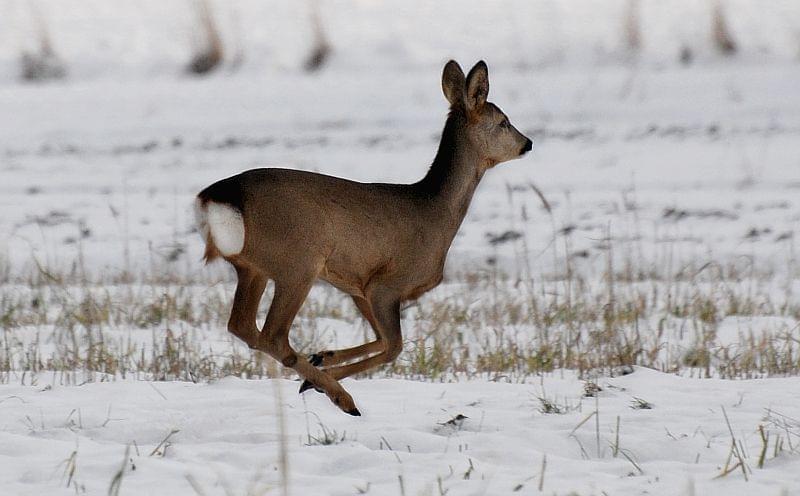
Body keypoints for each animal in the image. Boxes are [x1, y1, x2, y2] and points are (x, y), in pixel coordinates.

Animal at [194, 59, 532, 414]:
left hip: (253, 267)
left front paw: (323, 357)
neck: (435, 212)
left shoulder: (359, 285)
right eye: (504, 122)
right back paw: (341, 397)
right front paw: (317, 380)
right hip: (298, 262)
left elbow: (382, 340)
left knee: (242, 326)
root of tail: (219, 195)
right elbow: (394, 346)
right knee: (272, 335)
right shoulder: (387, 285)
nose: (528, 143)